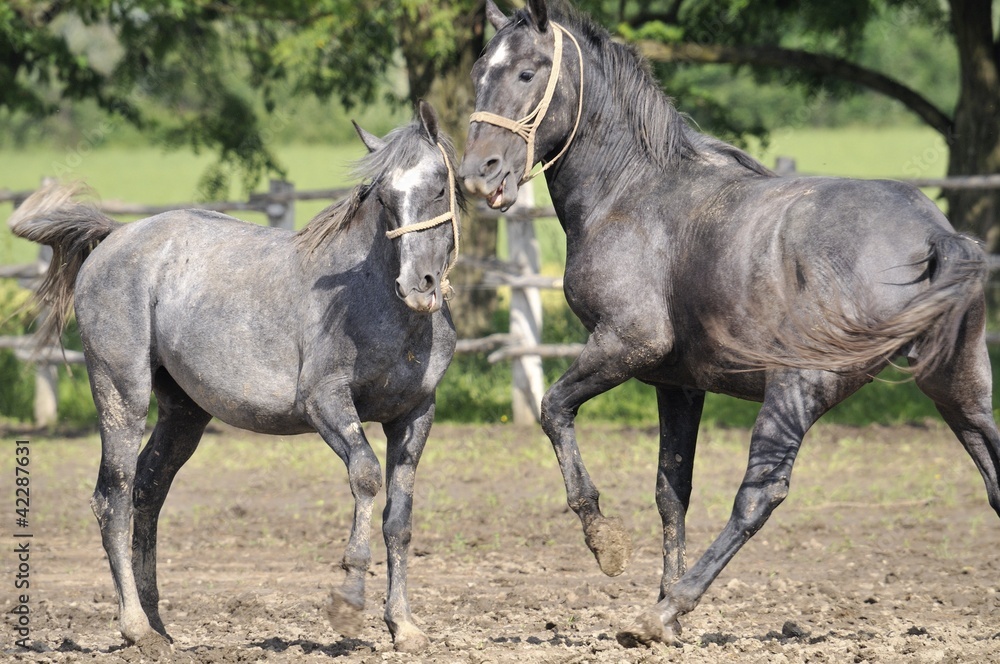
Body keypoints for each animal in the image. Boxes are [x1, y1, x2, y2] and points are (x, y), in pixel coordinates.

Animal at [9, 101, 460, 654]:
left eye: (438, 187)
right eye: (384, 197)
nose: (417, 286)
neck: (373, 299)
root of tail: (114, 236)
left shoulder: (415, 415)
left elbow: (399, 519)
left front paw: (404, 626)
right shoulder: (326, 403)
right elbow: (366, 476)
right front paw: (349, 599)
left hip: (184, 414)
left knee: (147, 492)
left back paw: (159, 624)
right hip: (121, 394)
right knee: (112, 498)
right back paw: (136, 629)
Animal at [459, 0, 1000, 648]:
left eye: (527, 72)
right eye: (479, 73)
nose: (477, 174)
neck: (630, 193)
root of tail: (937, 235)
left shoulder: (627, 343)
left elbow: (553, 409)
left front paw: (606, 545)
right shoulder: (675, 383)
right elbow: (672, 490)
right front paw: (661, 605)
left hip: (797, 388)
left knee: (760, 494)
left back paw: (670, 608)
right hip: (958, 390)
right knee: (994, 473)